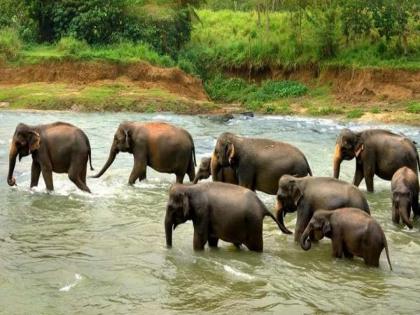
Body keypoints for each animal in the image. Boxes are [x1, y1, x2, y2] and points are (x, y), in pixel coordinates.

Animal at [164, 183, 292, 252]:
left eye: (170, 207)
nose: (169, 248)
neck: (189, 188)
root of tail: (263, 206)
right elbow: (212, 239)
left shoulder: (202, 211)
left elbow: (200, 238)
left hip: (253, 223)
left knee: (256, 247)